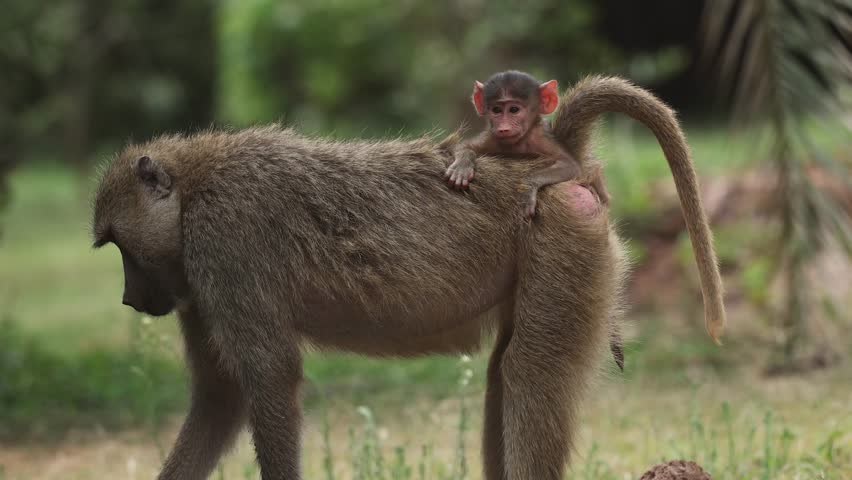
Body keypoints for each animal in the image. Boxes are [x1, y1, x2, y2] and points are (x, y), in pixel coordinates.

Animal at [444, 70, 610, 217]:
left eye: (514, 109)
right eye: (496, 110)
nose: (503, 128)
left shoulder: (540, 137)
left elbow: (571, 166)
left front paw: (528, 187)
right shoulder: (492, 137)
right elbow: (463, 147)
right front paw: (462, 166)